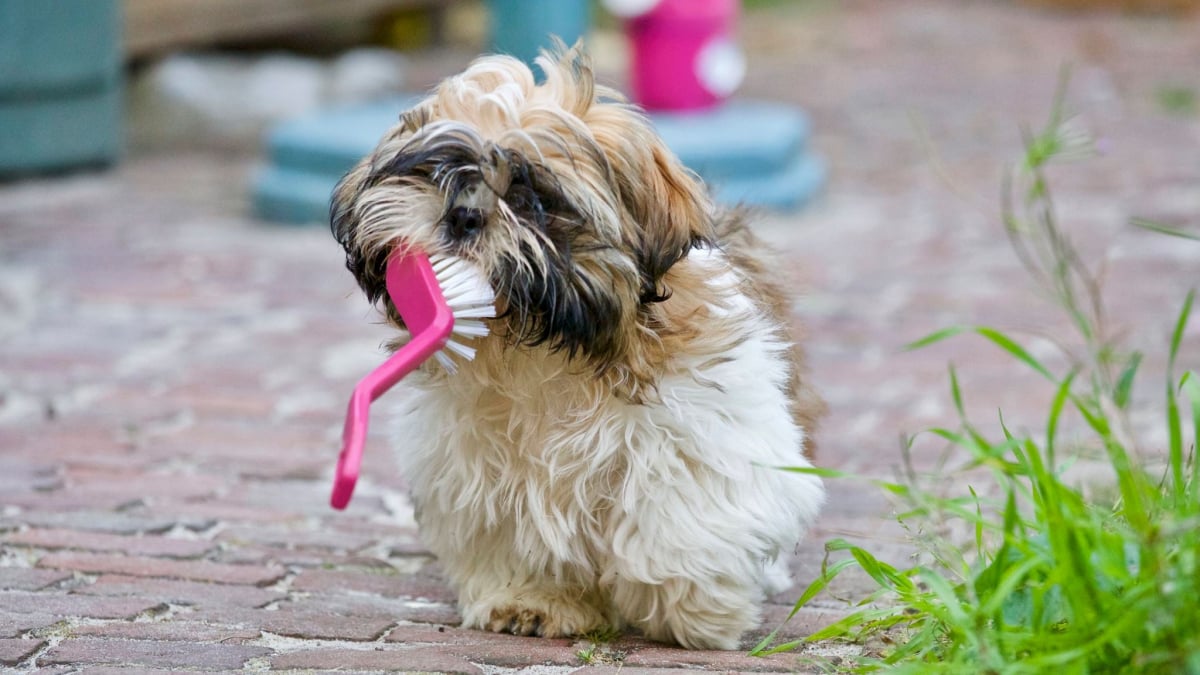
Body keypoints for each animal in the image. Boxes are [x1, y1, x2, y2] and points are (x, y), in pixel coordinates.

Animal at [328, 40, 825, 648]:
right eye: (439, 172)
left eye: (532, 198)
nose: (463, 215)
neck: (534, 345)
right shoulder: (474, 463)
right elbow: (513, 529)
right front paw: (531, 599)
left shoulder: (704, 427)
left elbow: (680, 516)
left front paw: (690, 607)